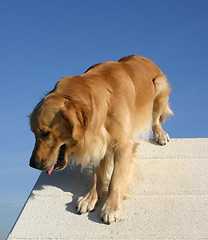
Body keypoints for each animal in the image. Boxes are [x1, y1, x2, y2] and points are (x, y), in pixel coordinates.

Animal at [29, 55, 172, 224]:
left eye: (45, 133)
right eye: (33, 133)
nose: (33, 164)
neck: (103, 99)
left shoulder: (123, 144)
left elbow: (116, 178)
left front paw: (111, 206)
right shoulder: (99, 141)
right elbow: (98, 175)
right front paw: (91, 198)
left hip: (159, 88)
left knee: (155, 119)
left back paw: (160, 134)